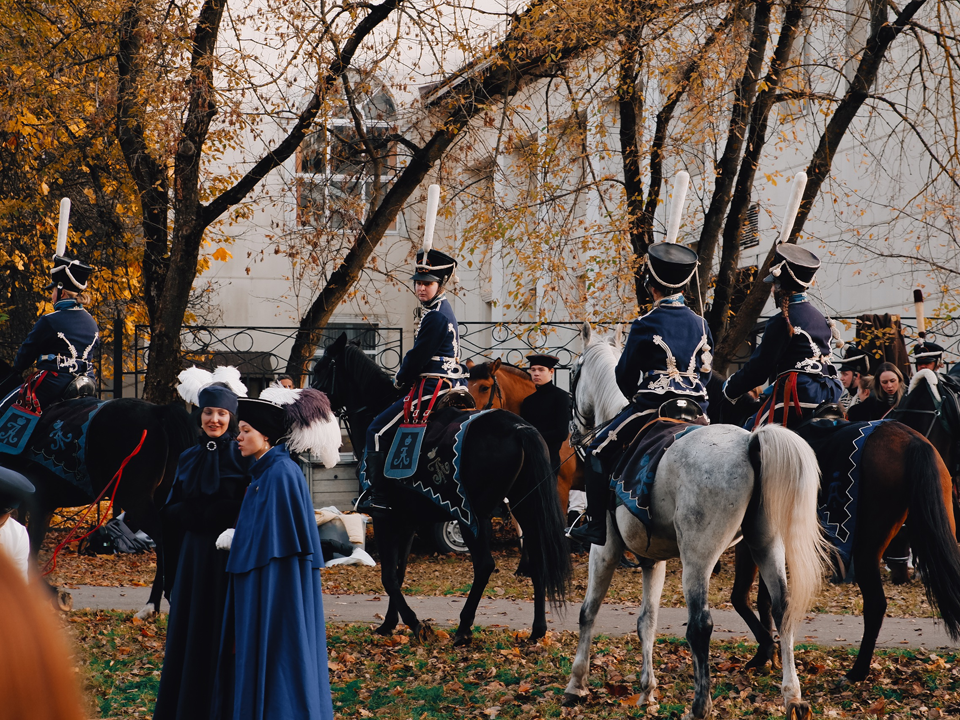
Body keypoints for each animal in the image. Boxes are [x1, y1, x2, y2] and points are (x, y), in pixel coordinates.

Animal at [0, 360, 195, 612]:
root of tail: (158, 413)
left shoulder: (36, 502)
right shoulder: (39, 503)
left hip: (136, 500)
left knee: (162, 539)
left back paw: (153, 603)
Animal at [314, 334, 568, 644]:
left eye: (321, 368)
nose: (309, 402)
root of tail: (520, 428)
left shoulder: (385, 517)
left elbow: (388, 576)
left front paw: (414, 624)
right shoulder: (407, 519)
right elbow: (399, 572)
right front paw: (389, 623)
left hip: (472, 516)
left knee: (484, 565)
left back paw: (463, 628)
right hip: (525, 508)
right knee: (538, 560)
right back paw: (536, 630)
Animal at [568, 326, 828, 720]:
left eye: (572, 373)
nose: (572, 430)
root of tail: (752, 442)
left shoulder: (605, 549)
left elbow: (588, 612)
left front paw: (577, 684)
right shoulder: (653, 560)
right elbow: (647, 621)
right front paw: (647, 693)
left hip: (699, 555)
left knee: (701, 624)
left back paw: (700, 704)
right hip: (766, 545)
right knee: (782, 609)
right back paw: (792, 696)